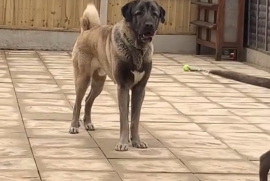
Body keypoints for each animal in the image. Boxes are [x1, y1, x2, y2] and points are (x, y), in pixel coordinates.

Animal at [68, 0, 166, 151]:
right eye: (139, 13)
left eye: (155, 14)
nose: (149, 25)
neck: (136, 48)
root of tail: (87, 30)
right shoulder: (123, 87)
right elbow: (124, 119)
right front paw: (123, 143)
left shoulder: (139, 89)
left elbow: (135, 119)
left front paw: (136, 141)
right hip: (82, 79)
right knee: (77, 103)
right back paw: (74, 125)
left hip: (98, 83)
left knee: (88, 100)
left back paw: (88, 123)